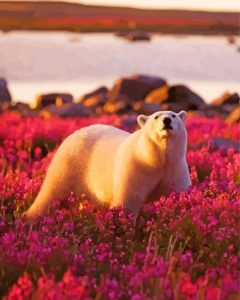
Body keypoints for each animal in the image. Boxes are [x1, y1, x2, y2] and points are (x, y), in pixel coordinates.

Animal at [24, 111, 191, 221]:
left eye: (174, 115)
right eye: (156, 116)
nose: (167, 120)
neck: (155, 159)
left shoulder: (175, 169)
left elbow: (179, 196)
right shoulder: (136, 168)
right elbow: (127, 202)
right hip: (69, 164)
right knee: (51, 193)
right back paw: (30, 217)